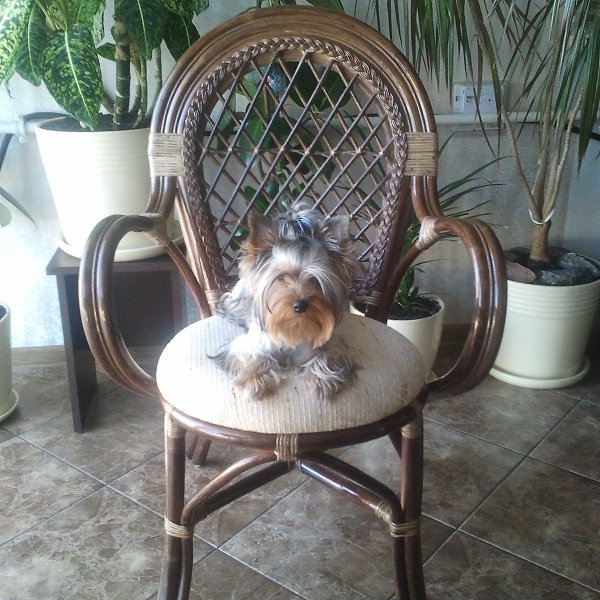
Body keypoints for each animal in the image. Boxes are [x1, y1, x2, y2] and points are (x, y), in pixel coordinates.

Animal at [214, 203, 359, 401]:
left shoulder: (328, 347)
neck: (292, 327)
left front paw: (322, 379)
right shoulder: (246, 345)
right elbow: (252, 356)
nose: (300, 305)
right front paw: (253, 381)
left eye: (315, 280)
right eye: (281, 277)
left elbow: (325, 356)